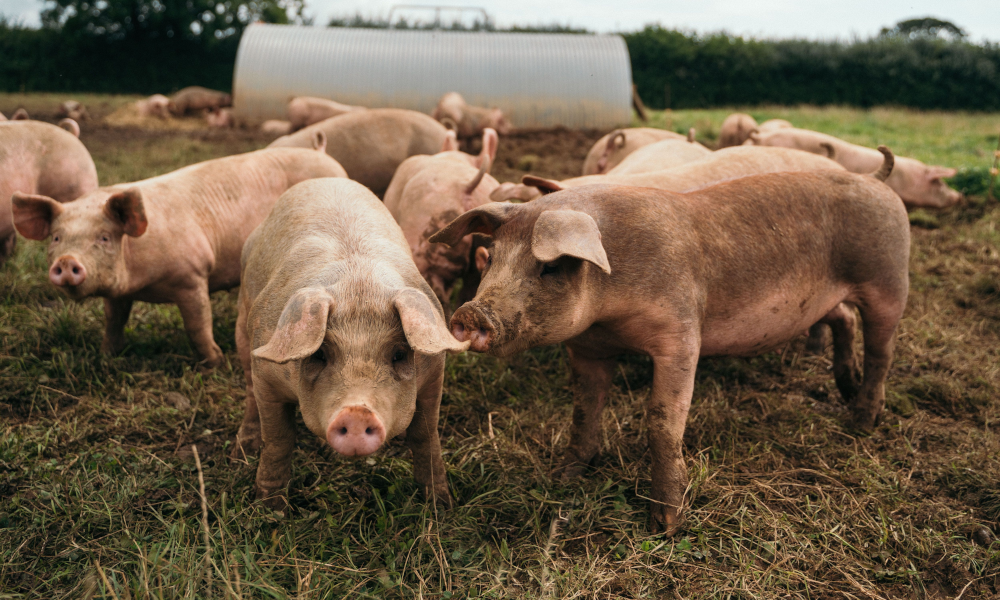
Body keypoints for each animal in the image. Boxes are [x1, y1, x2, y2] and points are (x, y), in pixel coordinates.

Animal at [11, 147, 347, 366]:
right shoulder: (118, 293)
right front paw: (107, 355)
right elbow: (113, 321)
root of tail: (327, 157)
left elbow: (197, 325)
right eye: (56, 238)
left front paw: (215, 362)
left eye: (104, 238)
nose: (67, 262)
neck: (142, 282)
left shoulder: (192, 275)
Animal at [231, 177, 469, 509]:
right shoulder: (266, 371)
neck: (359, 286)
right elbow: (278, 439)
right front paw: (269, 509)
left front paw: (440, 505)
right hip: (244, 322)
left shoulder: (435, 372)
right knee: (249, 389)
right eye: (319, 354)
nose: (357, 412)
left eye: (399, 354)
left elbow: (425, 435)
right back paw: (241, 450)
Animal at [431, 148, 909, 533]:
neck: (610, 312)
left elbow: (661, 424)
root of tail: (874, 178)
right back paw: (846, 389)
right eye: (492, 258)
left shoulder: (680, 335)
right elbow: (583, 412)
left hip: (888, 281)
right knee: (845, 319)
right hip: (828, 298)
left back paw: (861, 420)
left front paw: (666, 524)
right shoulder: (588, 347)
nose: (469, 314)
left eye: (549, 267)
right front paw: (563, 478)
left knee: (882, 350)